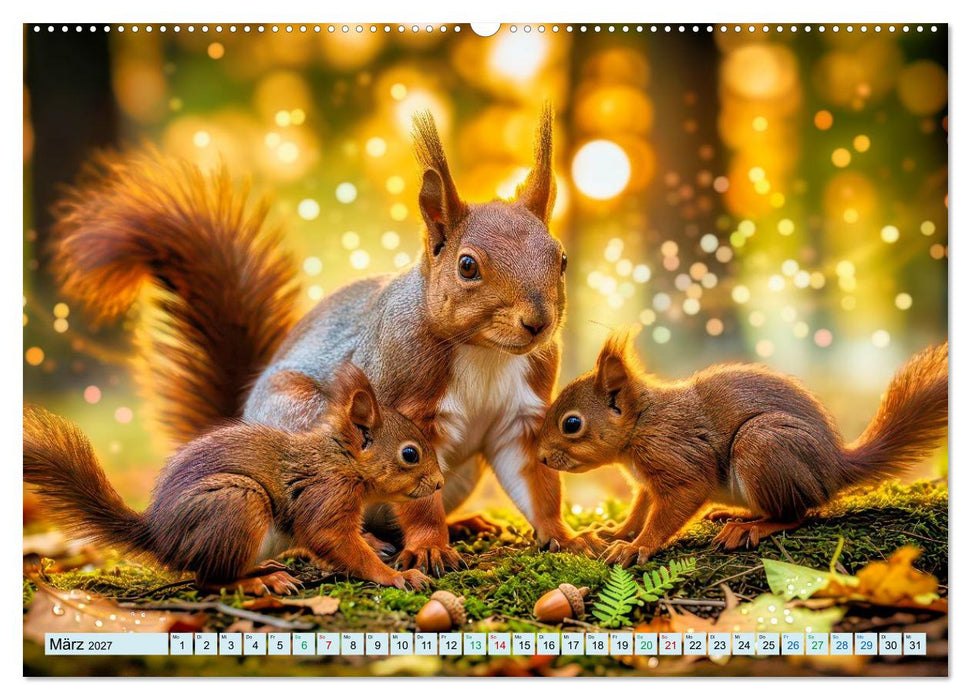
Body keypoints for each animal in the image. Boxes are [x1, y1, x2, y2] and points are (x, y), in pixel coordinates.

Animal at [23, 362, 444, 593]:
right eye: (410, 454)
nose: (439, 483)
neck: (342, 460)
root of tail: (160, 538)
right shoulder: (325, 492)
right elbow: (330, 539)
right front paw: (395, 576)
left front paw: (376, 545)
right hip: (237, 503)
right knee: (207, 580)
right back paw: (259, 582)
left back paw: (265, 571)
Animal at [50, 104, 598, 575]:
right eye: (467, 266)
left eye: (561, 258)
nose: (538, 322)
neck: (484, 352)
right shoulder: (410, 406)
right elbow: (419, 496)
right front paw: (430, 549)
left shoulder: (523, 413)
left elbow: (538, 484)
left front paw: (566, 538)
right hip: (303, 431)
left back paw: (464, 524)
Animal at [537, 329, 948, 567]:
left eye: (571, 424)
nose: (540, 456)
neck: (643, 422)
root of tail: (835, 467)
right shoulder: (646, 482)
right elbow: (640, 509)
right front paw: (616, 532)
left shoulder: (678, 456)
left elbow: (673, 507)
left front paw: (638, 547)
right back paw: (732, 515)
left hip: (763, 445)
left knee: (797, 514)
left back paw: (752, 527)